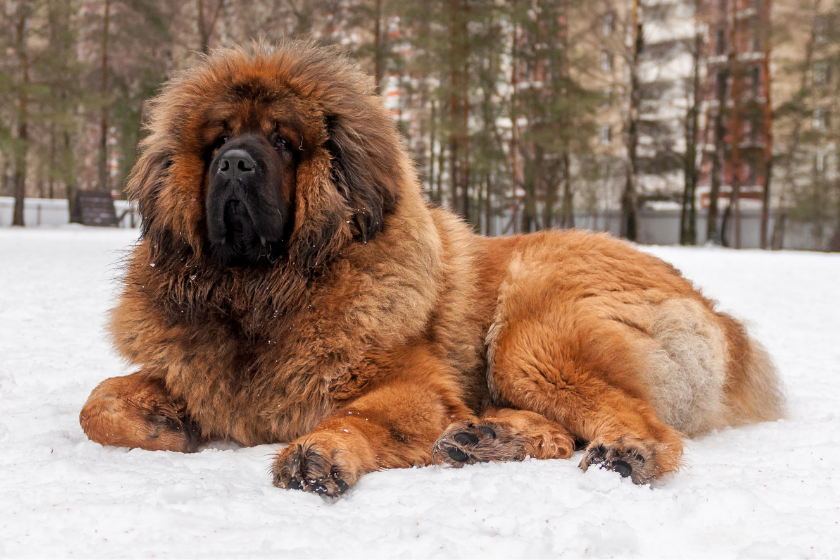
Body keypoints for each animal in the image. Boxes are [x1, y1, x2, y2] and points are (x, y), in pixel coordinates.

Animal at [82, 41, 784, 496]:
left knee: (644, 426)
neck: (265, 294)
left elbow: (355, 416)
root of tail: (722, 320)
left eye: (282, 141)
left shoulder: (413, 387)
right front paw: (165, 421)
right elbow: (98, 404)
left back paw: (621, 452)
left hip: (533, 337)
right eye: (218, 141)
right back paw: (488, 438)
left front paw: (318, 452)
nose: (234, 163)